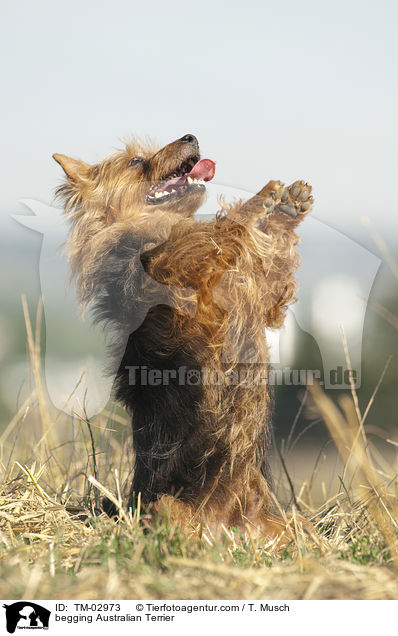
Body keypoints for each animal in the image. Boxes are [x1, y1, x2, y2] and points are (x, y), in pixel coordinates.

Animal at [53, 134, 314, 540]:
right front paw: (260, 200)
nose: (191, 136)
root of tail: (229, 527)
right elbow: (221, 230)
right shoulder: (184, 266)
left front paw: (286, 208)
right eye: (136, 161)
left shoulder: (261, 296)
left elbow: (268, 267)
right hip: (164, 508)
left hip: (288, 523)